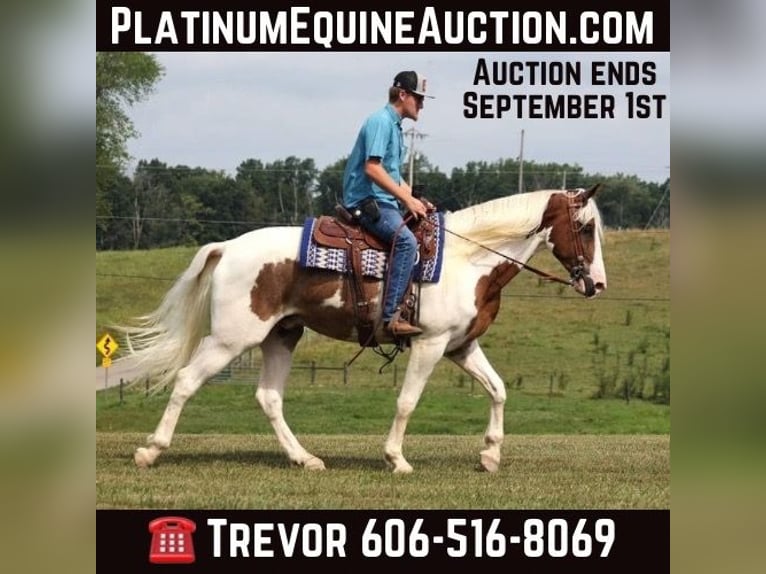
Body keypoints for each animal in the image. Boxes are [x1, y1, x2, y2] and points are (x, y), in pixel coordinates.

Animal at [115, 184, 607, 473]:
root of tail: (227, 247)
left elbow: (498, 390)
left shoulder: (460, 346)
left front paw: (489, 455)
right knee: (185, 381)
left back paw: (305, 458)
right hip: (231, 339)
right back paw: (150, 450)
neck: (469, 261)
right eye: (585, 227)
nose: (596, 284)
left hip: (281, 336)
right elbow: (407, 402)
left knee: (268, 398)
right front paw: (396, 458)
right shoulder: (429, 345)